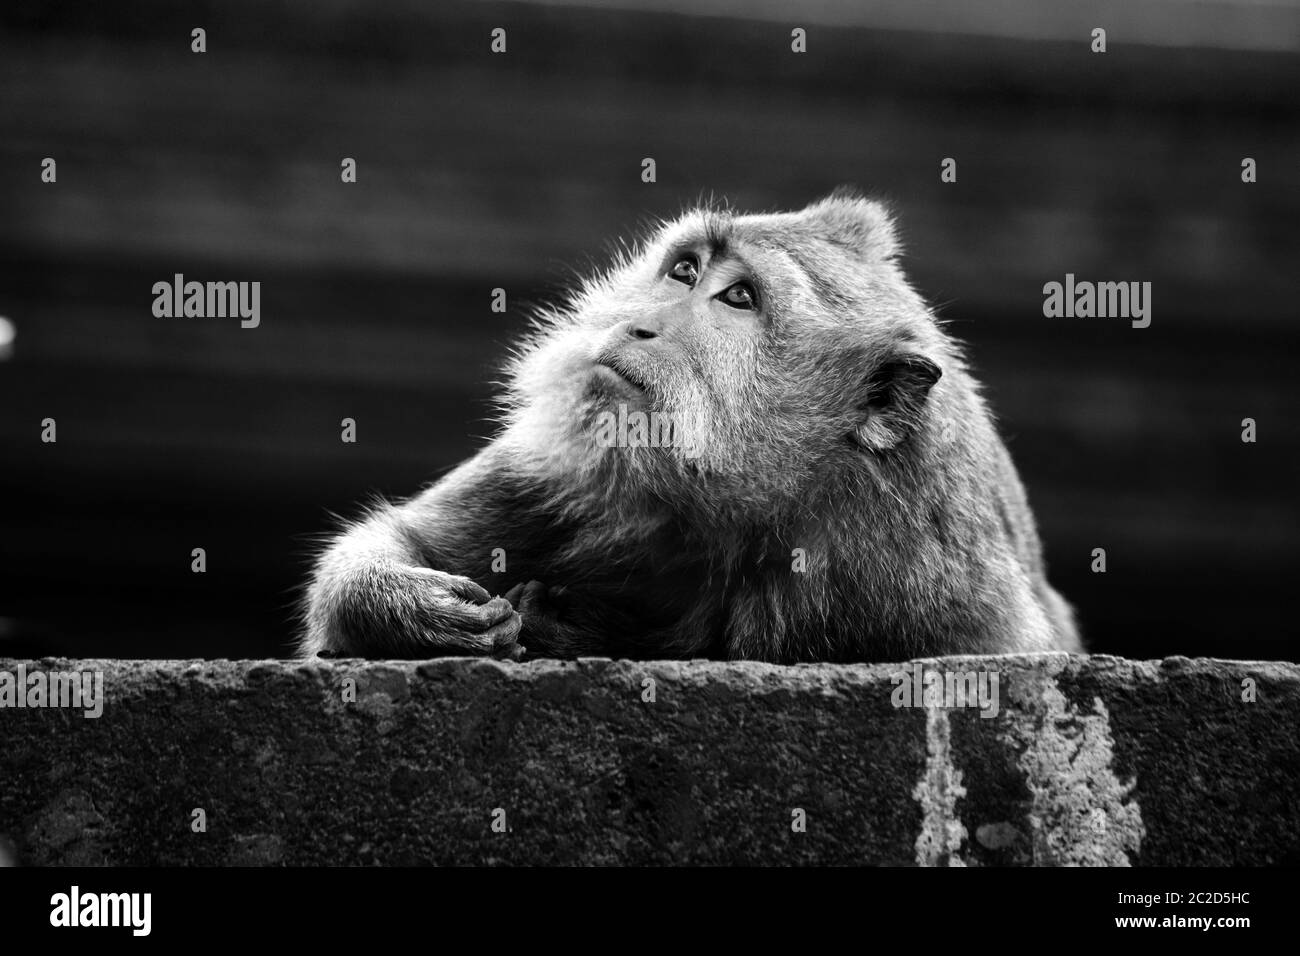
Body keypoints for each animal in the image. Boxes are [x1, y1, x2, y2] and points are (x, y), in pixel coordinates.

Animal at [300, 189, 1081, 663]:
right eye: (684, 271)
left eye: (738, 298)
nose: (638, 324)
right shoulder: (557, 468)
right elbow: (402, 540)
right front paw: (403, 605)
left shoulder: (929, 581)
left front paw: (575, 625)